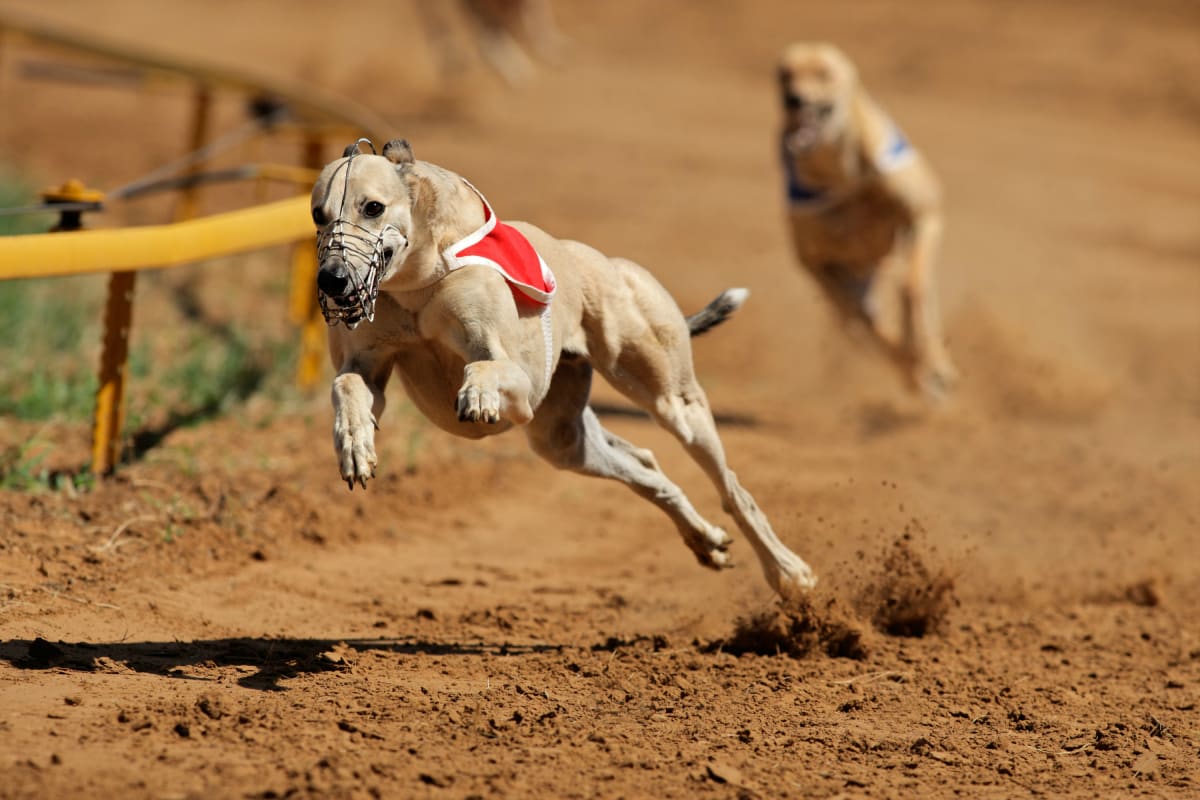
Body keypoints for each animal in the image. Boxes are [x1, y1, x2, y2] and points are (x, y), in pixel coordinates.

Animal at [309, 139, 816, 599]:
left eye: (373, 207)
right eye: (317, 214)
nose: (331, 279)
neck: (415, 279)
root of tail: (605, 262)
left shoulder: (520, 384)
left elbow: (485, 368)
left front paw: (477, 396)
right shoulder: (368, 365)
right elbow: (348, 385)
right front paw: (354, 444)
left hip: (674, 403)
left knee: (732, 489)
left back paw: (789, 572)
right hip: (563, 440)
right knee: (646, 466)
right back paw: (705, 541)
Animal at [777, 42, 955, 400]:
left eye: (824, 73)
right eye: (784, 74)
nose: (793, 98)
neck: (843, 173)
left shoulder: (925, 216)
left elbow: (913, 287)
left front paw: (930, 363)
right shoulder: (816, 263)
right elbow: (866, 322)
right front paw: (916, 369)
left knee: (913, 301)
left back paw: (932, 363)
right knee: (865, 325)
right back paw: (915, 370)